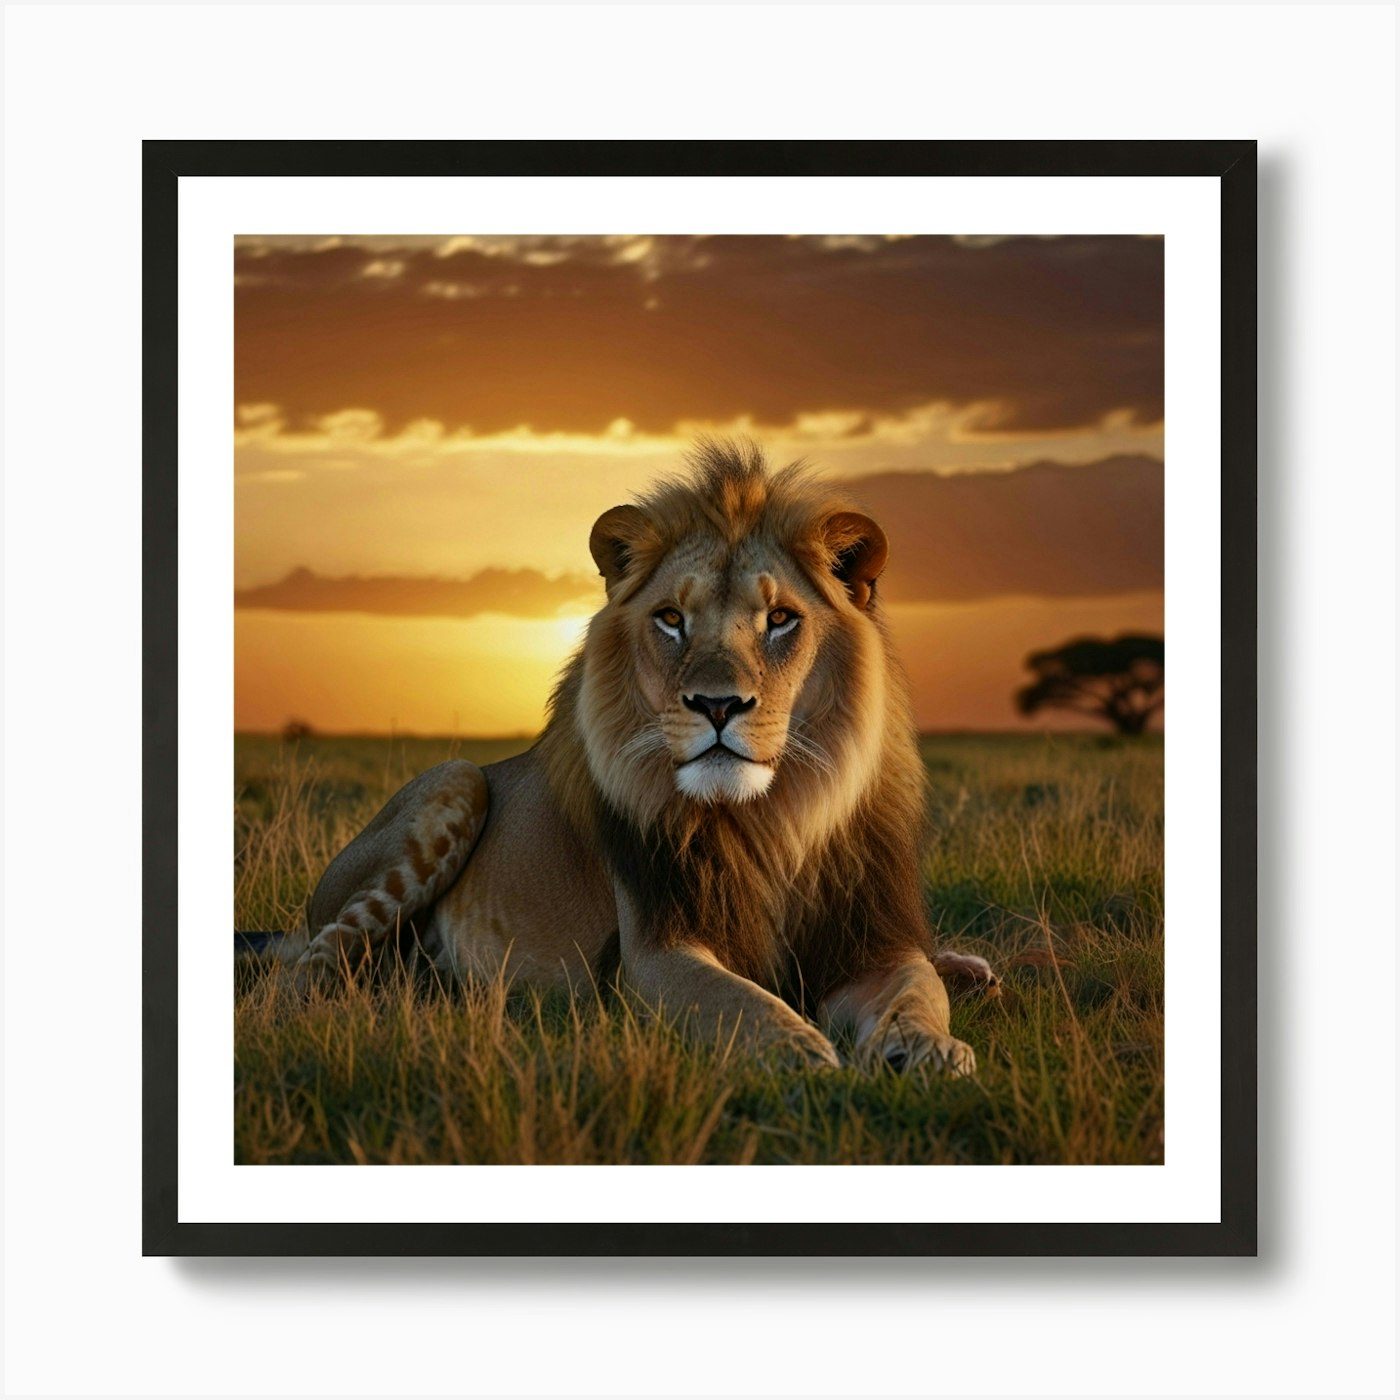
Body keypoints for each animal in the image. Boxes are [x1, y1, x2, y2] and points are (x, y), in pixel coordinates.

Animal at [277, 440, 992, 1073]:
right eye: (672, 618)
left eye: (781, 619)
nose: (717, 705)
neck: (773, 821)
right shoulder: (652, 951)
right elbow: (736, 1000)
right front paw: (799, 1051)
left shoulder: (868, 941)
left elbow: (916, 988)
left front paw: (928, 1047)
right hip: (454, 783)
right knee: (313, 968)